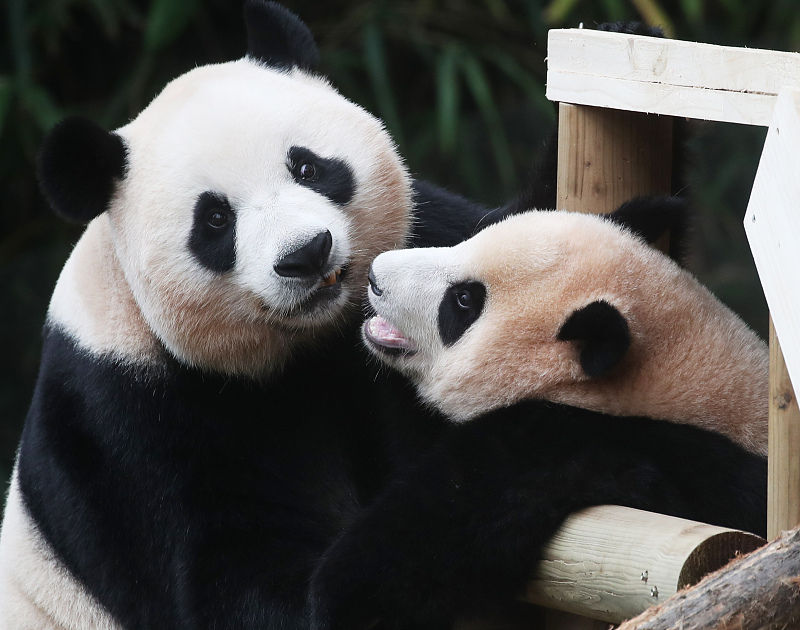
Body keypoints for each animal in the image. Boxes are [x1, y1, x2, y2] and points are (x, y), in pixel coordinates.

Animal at [0, 2, 520, 628]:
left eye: (308, 167)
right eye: (215, 220)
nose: (307, 254)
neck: (309, 340)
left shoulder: (427, 242)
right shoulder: (132, 428)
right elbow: (264, 592)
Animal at [306, 205, 768, 628]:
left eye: (464, 300)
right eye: (467, 239)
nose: (374, 276)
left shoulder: (570, 440)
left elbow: (445, 515)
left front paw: (344, 588)